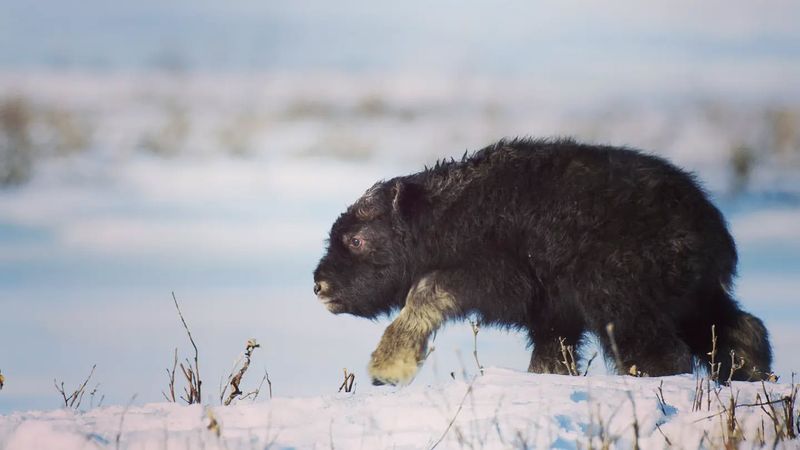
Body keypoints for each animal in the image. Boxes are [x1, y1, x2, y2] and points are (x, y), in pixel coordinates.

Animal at [310, 139, 768, 384]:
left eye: (356, 239)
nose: (320, 286)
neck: (443, 215)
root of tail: (711, 228)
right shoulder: (552, 315)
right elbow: (551, 356)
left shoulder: (498, 276)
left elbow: (427, 290)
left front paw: (389, 366)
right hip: (692, 299)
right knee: (740, 328)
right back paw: (755, 376)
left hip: (619, 297)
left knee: (660, 349)